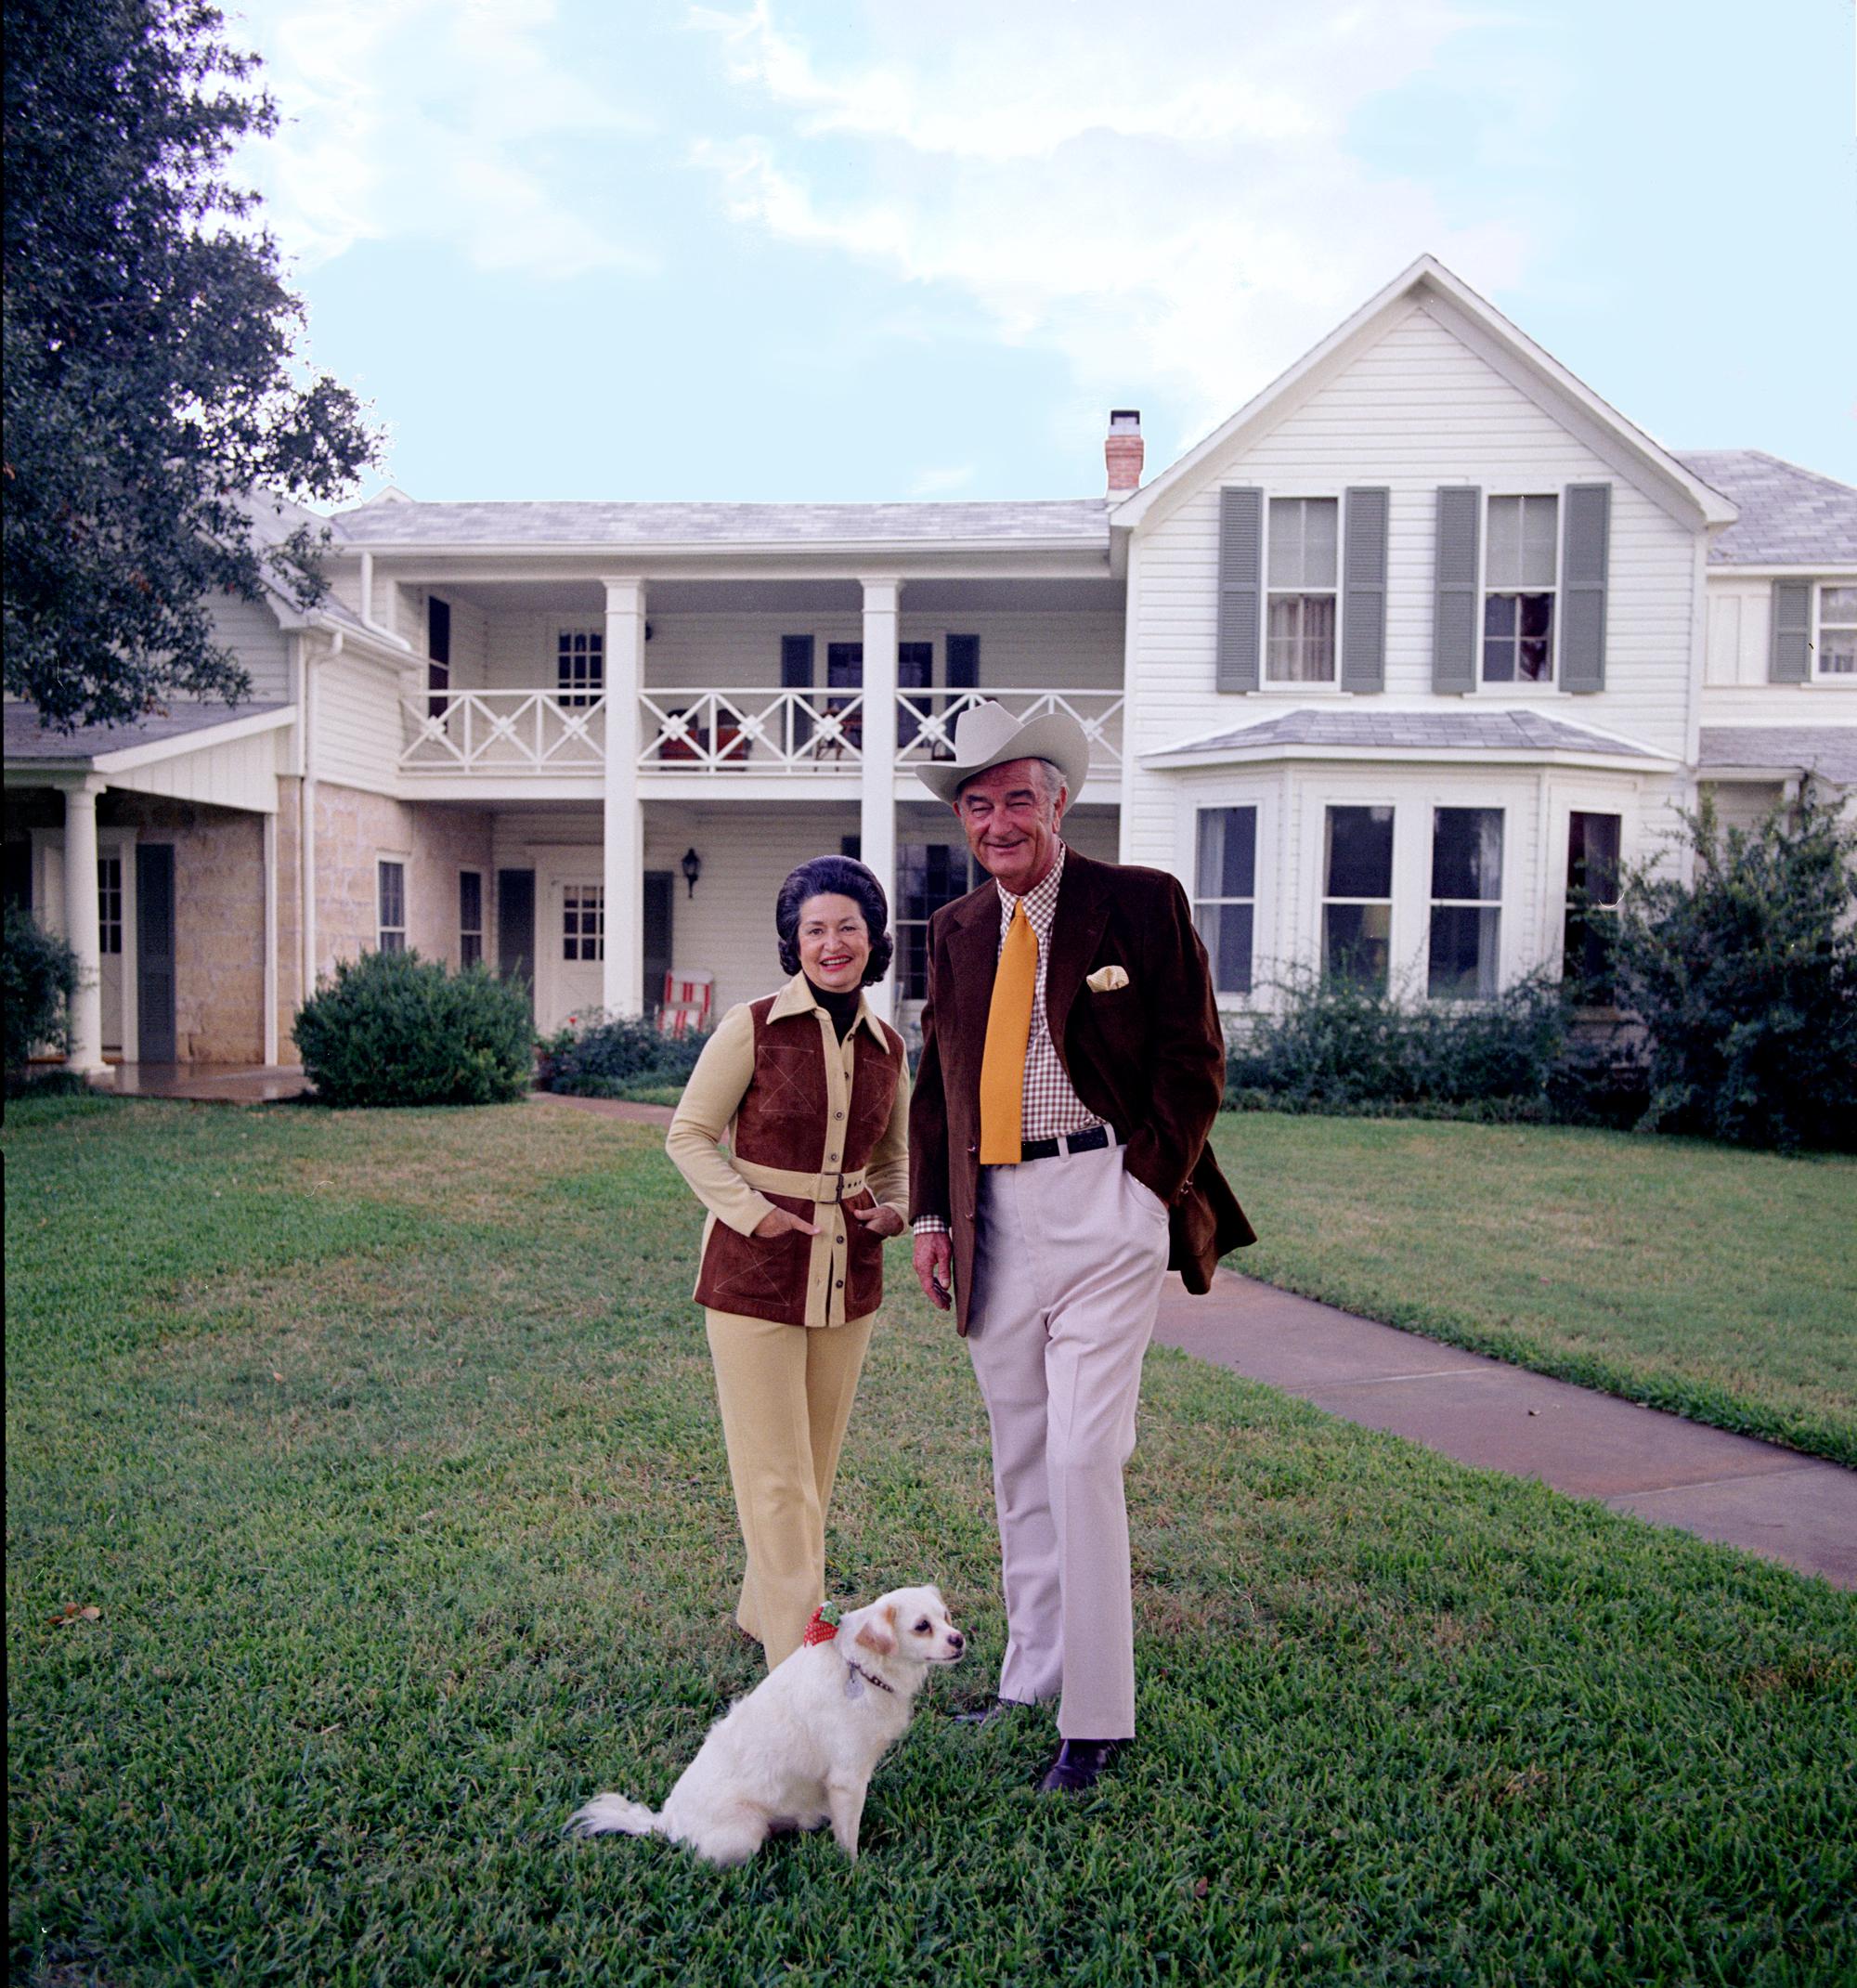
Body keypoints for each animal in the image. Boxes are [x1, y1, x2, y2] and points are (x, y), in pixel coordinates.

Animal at [572, 1582, 966, 1860]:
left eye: (946, 1617)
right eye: (921, 1627)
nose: (959, 1639)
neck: (862, 1668)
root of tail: (665, 1822)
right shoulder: (847, 1778)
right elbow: (848, 1835)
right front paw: (854, 1867)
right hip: (743, 1834)